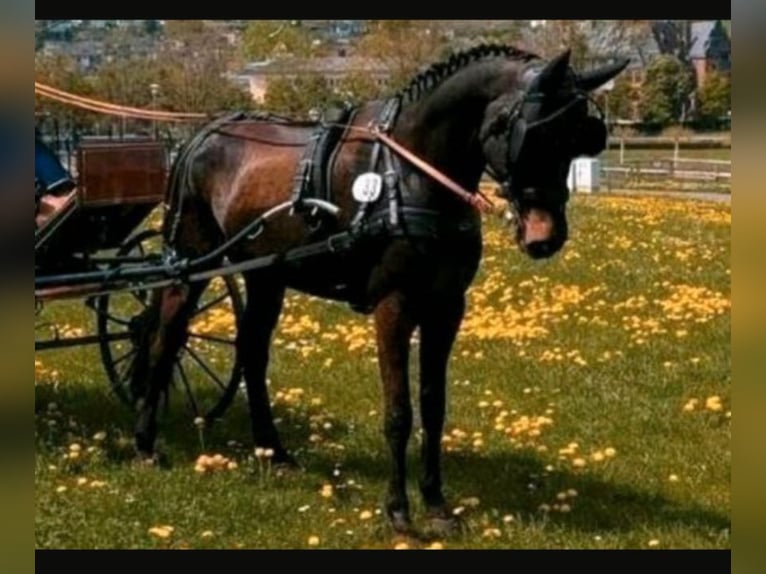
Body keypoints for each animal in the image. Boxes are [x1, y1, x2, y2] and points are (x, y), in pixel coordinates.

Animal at [130, 44, 629, 535]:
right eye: (530, 135)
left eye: (580, 137)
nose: (546, 237)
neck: (409, 172)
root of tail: (205, 132)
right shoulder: (394, 306)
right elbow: (399, 412)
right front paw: (398, 509)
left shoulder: (447, 307)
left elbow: (433, 406)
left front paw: (437, 504)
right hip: (193, 261)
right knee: (165, 337)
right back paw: (146, 442)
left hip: (266, 275)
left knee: (252, 351)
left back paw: (273, 453)